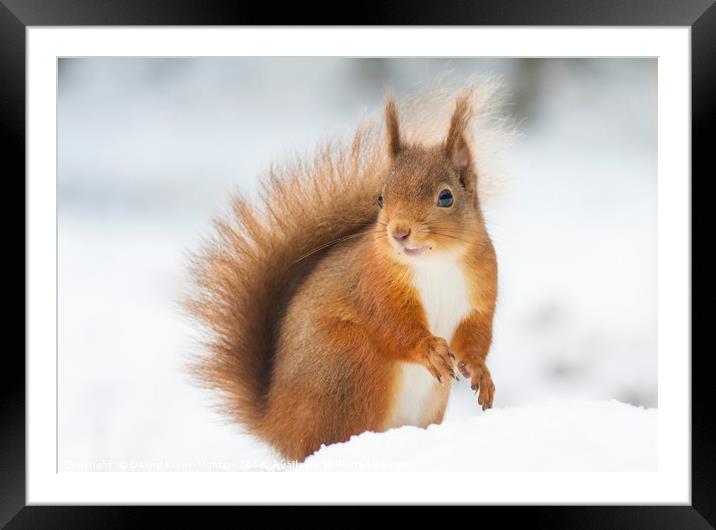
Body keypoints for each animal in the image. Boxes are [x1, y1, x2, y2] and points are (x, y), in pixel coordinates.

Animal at [189, 88, 498, 460]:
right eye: (380, 198)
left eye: (446, 197)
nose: (399, 232)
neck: (434, 264)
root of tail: (278, 427)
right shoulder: (372, 285)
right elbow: (393, 326)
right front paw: (429, 349)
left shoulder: (481, 292)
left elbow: (476, 336)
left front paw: (480, 371)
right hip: (351, 362)